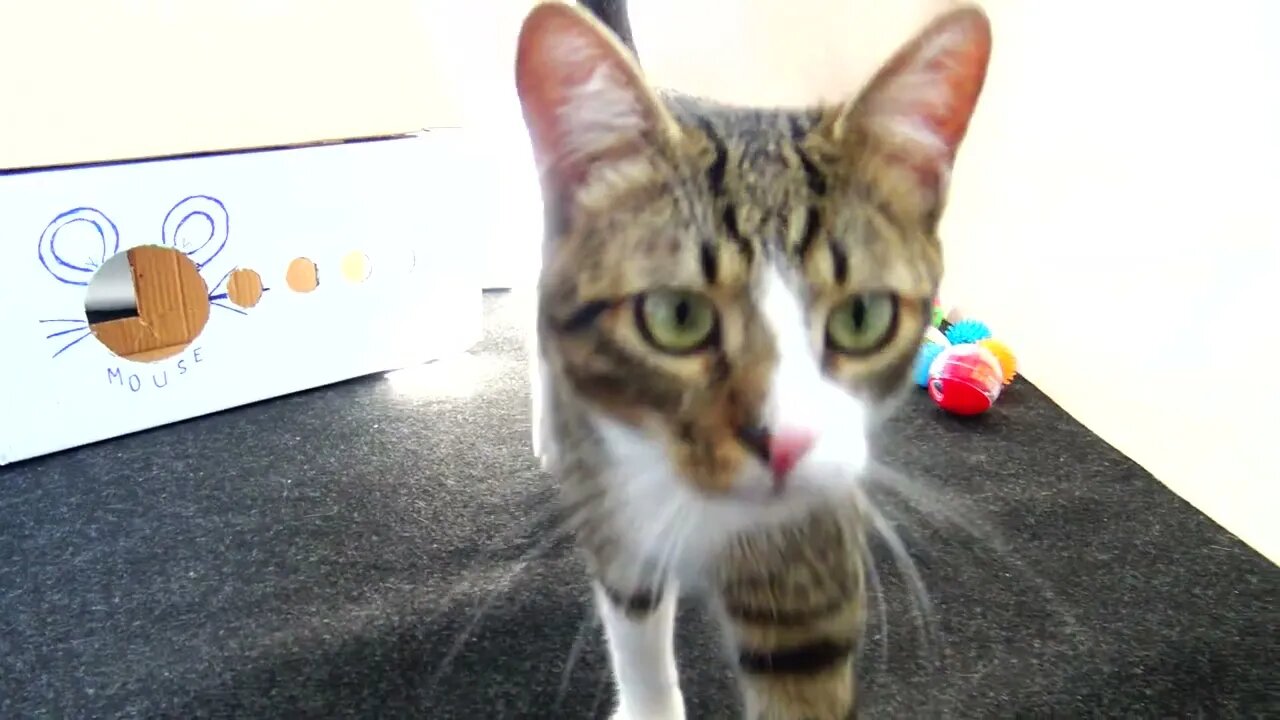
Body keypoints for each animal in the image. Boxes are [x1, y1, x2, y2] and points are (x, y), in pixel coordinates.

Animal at [514, 2, 993, 712]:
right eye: (676, 317)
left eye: (862, 317)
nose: (787, 444)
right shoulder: (616, 504)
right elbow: (633, 615)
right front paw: (650, 705)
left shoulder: (810, 551)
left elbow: (802, 656)